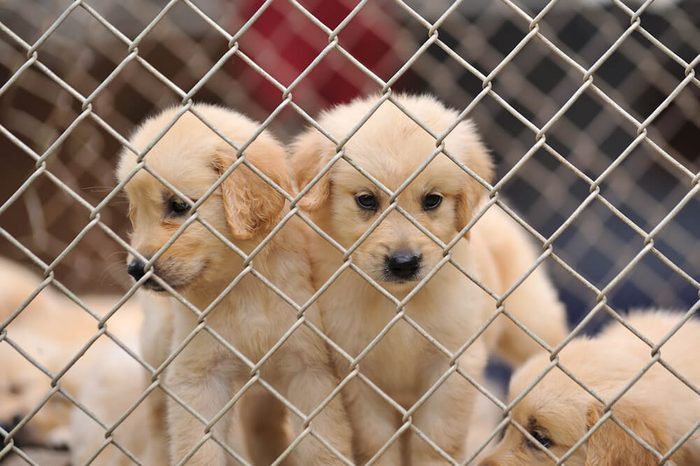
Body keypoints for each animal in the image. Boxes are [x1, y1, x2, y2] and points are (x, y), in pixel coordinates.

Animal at [118, 104, 356, 466]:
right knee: (159, 432)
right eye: (136, 211)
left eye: (179, 206)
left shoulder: (308, 367)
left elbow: (323, 445)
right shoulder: (198, 376)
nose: (136, 269)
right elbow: (198, 449)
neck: (242, 282)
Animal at [290, 93, 568, 464]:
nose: (404, 263)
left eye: (432, 200)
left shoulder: (452, 365)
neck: (398, 299)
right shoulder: (357, 372)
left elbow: (437, 438)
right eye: (366, 200)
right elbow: (377, 440)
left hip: (530, 321)